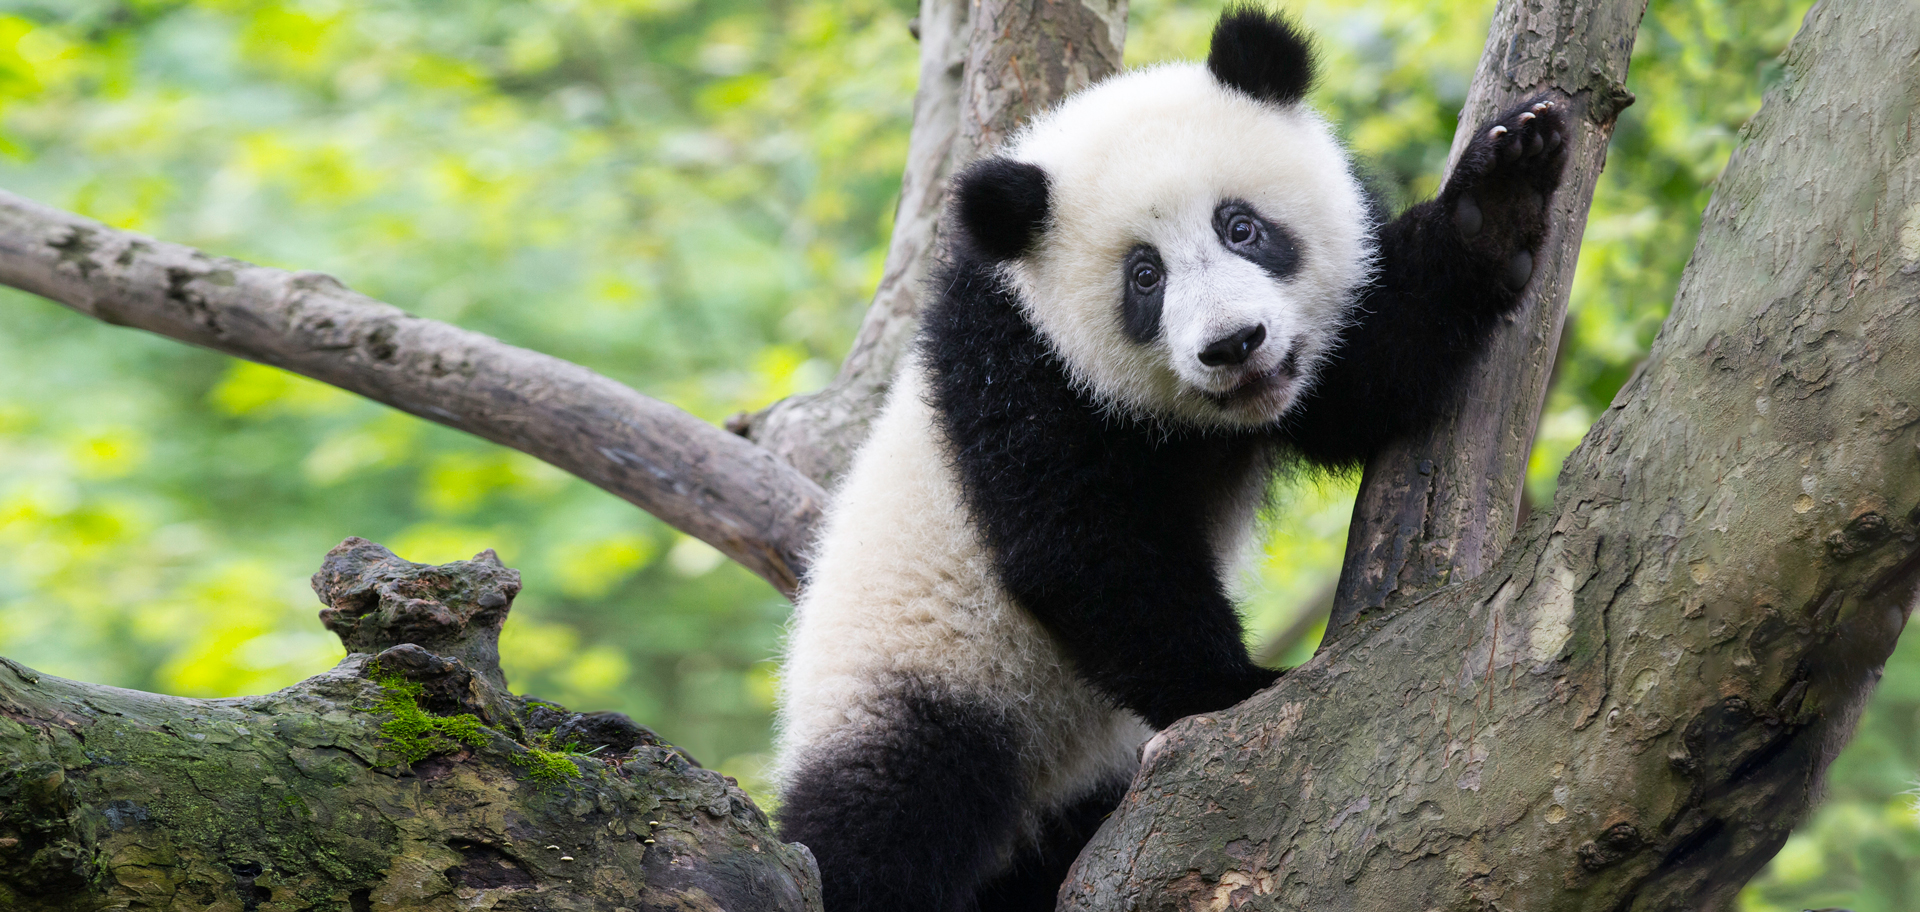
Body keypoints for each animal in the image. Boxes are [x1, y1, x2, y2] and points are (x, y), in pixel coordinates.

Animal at [773, 7, 1568, 911]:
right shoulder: (1015, 363)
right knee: (887, 815)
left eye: (1241, 227)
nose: (1235, 345)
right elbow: (1087, 548)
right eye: (1144, 277)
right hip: (925, 681)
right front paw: (1242, 692)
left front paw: (1500, 197)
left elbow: (1372, 374)